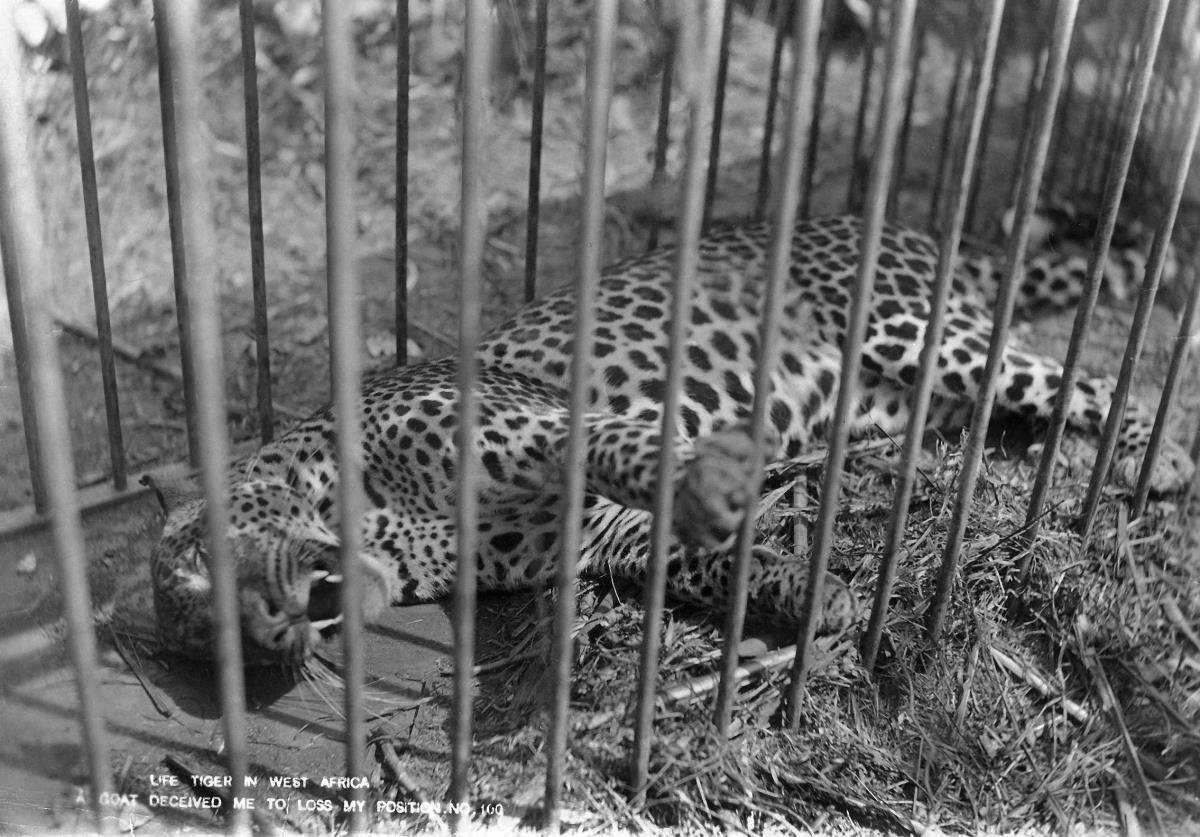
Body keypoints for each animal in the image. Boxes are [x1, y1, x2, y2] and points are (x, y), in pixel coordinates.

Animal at [147, 214, 1194, 665]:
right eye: (210, 643)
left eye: (207, 558)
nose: (270, 631)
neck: (396, 537)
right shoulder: (608, 541)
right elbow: (710, 562)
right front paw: (812, 593)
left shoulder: (543, 424)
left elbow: (637, 453)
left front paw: (720, 489)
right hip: (913, 390)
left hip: (918, 329)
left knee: (1075, 376)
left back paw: (1160, 453)